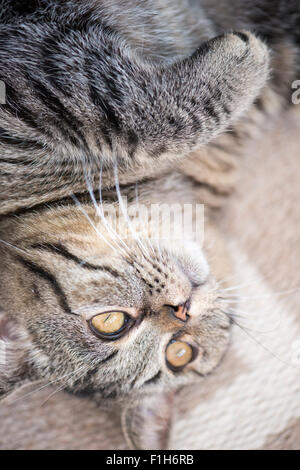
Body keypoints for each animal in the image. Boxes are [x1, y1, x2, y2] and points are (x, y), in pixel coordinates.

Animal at [0, 0, 298, 448]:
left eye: (108, 323)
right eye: (180, 352)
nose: (182, 309)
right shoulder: (37, 78)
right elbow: (134, 120)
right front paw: (244, 58)